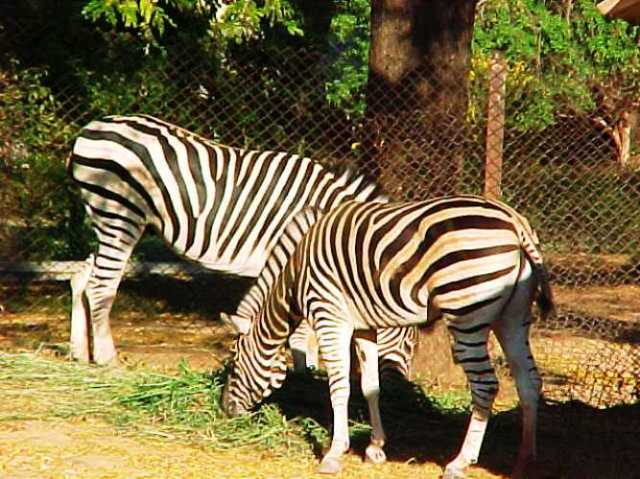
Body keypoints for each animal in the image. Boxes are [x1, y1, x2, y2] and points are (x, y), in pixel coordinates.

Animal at [67, 114, 386, 365]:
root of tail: (89, 128)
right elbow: (302, 329)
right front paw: (304, 370)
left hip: (107, 219)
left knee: (81, 278)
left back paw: (80, 353)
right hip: (120, 213)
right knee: (100, 286)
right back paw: (107, 358)